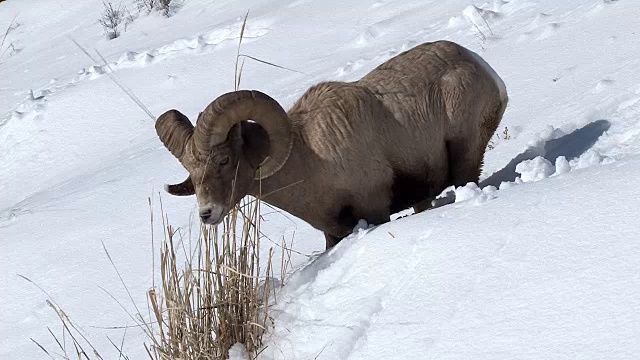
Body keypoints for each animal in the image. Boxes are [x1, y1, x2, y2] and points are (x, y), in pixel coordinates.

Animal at [158, 39, 508, 248]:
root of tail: (478, 65)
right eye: (190, 170)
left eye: (224, 160)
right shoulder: (332, 232)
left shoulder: (374, 208)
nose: (207, 214)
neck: (309, 160)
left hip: (465, 158)